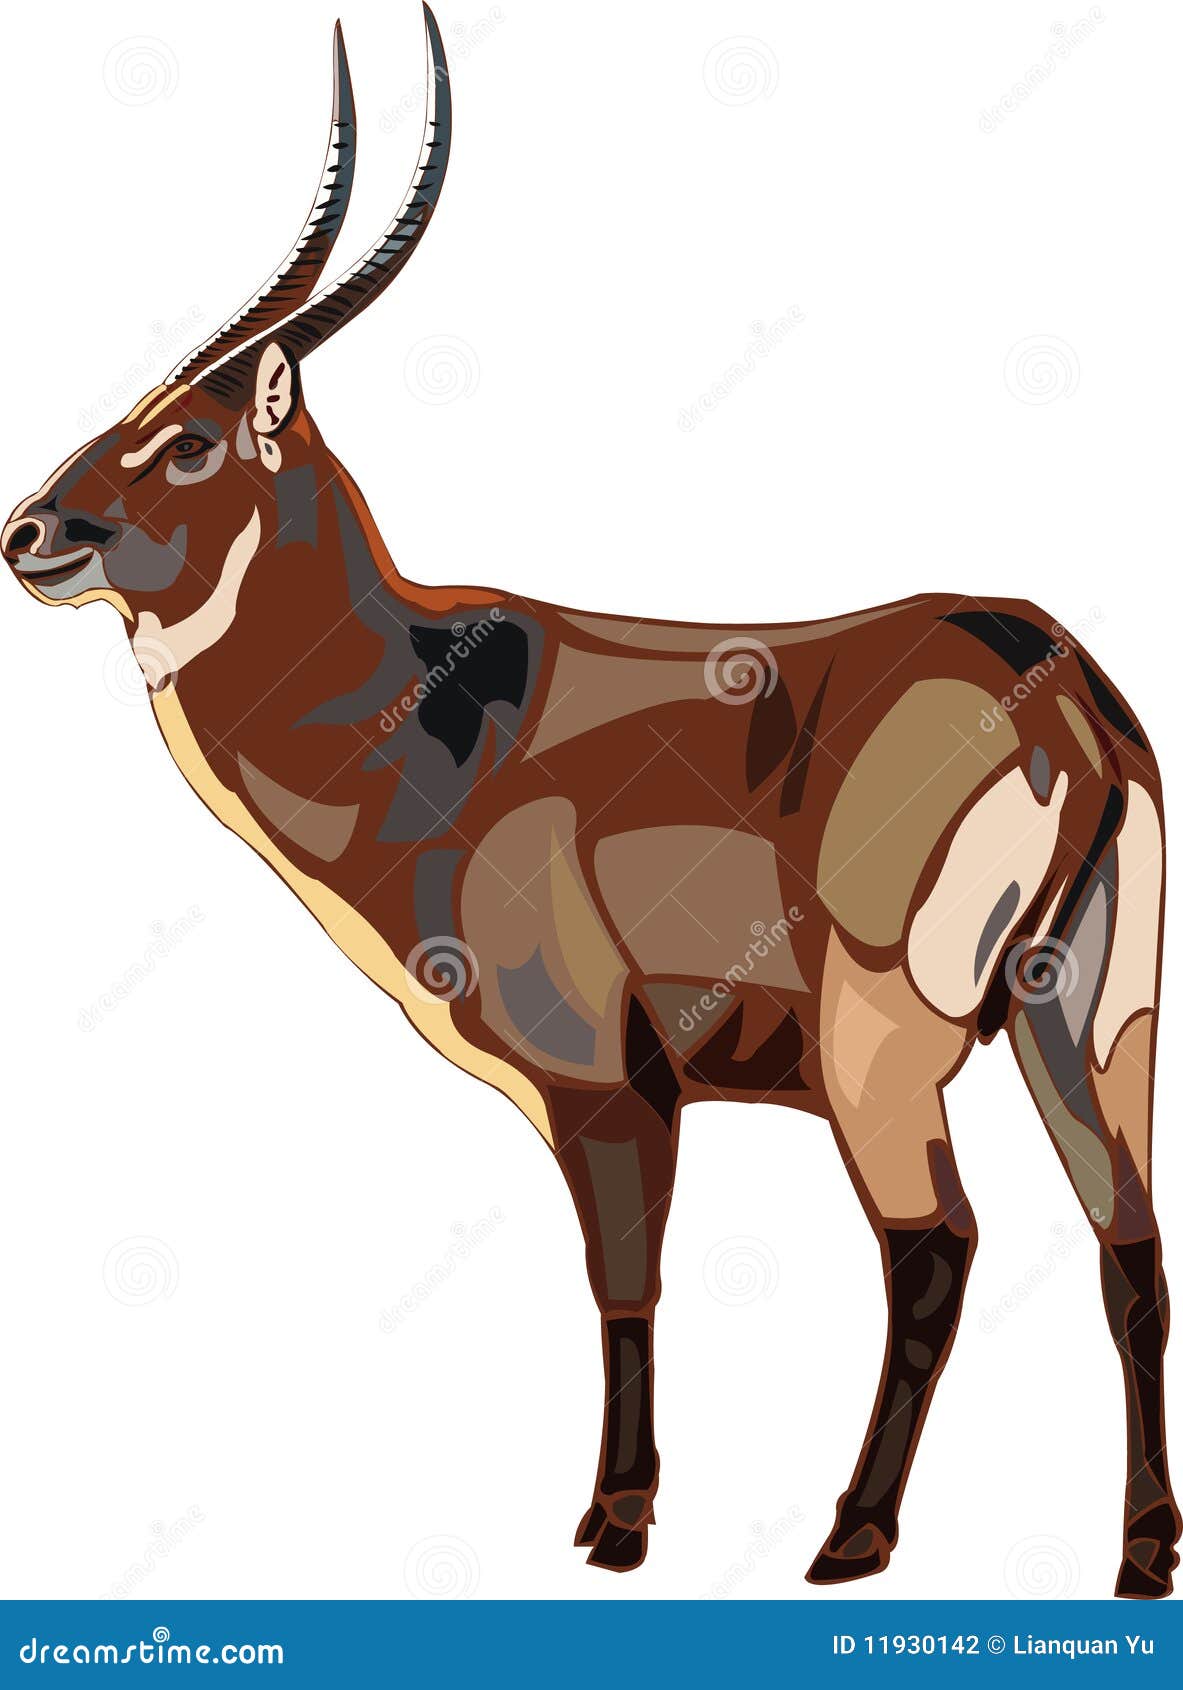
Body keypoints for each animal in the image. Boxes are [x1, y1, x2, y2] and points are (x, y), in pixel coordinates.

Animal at [5, 6, 1177, 1598]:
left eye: (189, 437)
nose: (30, 532)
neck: (434, 710)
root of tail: (1055, 679)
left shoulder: (606, 1086)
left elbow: (624, 1279)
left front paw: (615, 1526)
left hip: (887, 1048)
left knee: (936, 1242)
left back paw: (848, 1540)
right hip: (1089, 1022)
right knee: (1130, 1248)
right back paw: (1138, 1558)